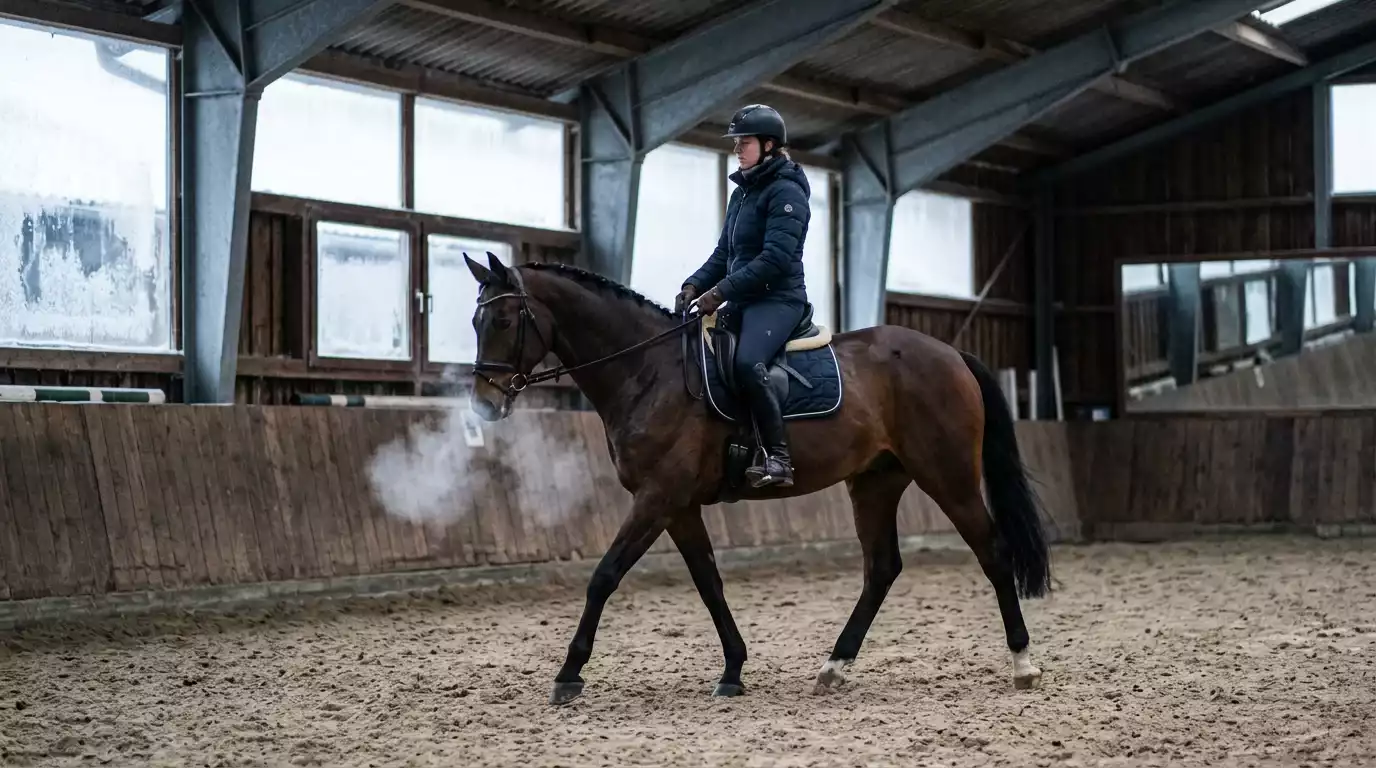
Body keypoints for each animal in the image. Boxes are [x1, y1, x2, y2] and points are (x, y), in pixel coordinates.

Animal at [462, 253, 1052, 705]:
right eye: (475, 323)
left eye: (506, 321)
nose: (485, 404)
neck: (648, 372)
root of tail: (951, 352)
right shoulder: (678, 505)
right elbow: (708, 582)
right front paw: (733, 670)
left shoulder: (657, 497)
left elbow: (604, 576)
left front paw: (568, 675)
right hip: (875, 482)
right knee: (882, 568)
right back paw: (834, 667)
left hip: (947, 475)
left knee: (992, 552)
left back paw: (1023, 664)